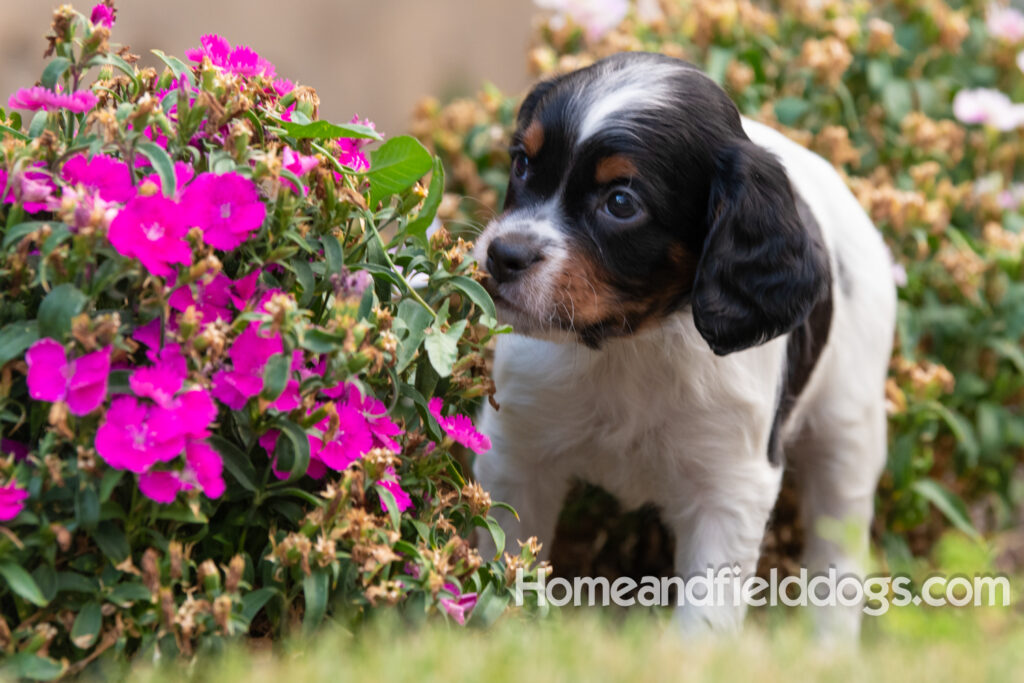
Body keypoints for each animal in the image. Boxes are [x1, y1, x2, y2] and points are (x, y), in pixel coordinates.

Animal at [473, 52, 897, 634]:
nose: (503, 256)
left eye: (620, 202)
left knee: (839, 554)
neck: (630, 344)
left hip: (850, 433)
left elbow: (707, 616)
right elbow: (505, 561)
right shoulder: (518, 451)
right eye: (522, 163)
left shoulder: (731, 488)